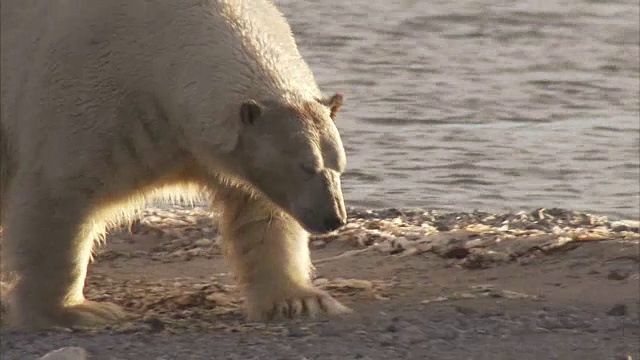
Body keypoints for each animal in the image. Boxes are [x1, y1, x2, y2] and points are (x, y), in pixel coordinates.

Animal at [0, 0, 350, 330]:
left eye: (338, 166)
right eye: (305, 166)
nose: (333, 217)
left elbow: (259, 214)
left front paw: (300, 301)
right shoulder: (94, 94)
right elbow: (60, 193)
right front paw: (77, 311)